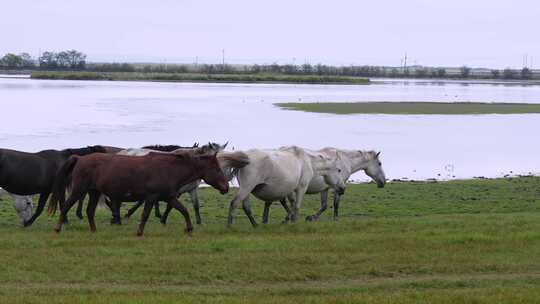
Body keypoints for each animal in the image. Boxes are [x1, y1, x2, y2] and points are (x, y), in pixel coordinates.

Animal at [48, 149, 247, 235]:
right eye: (217, 169)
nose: (225, 187)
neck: (170, 169)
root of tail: (80, 158)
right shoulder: (152, 197)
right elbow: (145, 214)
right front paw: (139, 232)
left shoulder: (169, 197)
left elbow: (184, 210)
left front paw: (189, 228)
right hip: (79, 190)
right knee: (66, 206)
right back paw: (57, 228)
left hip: (94, 192)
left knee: (89, 211)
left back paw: (94, 230)